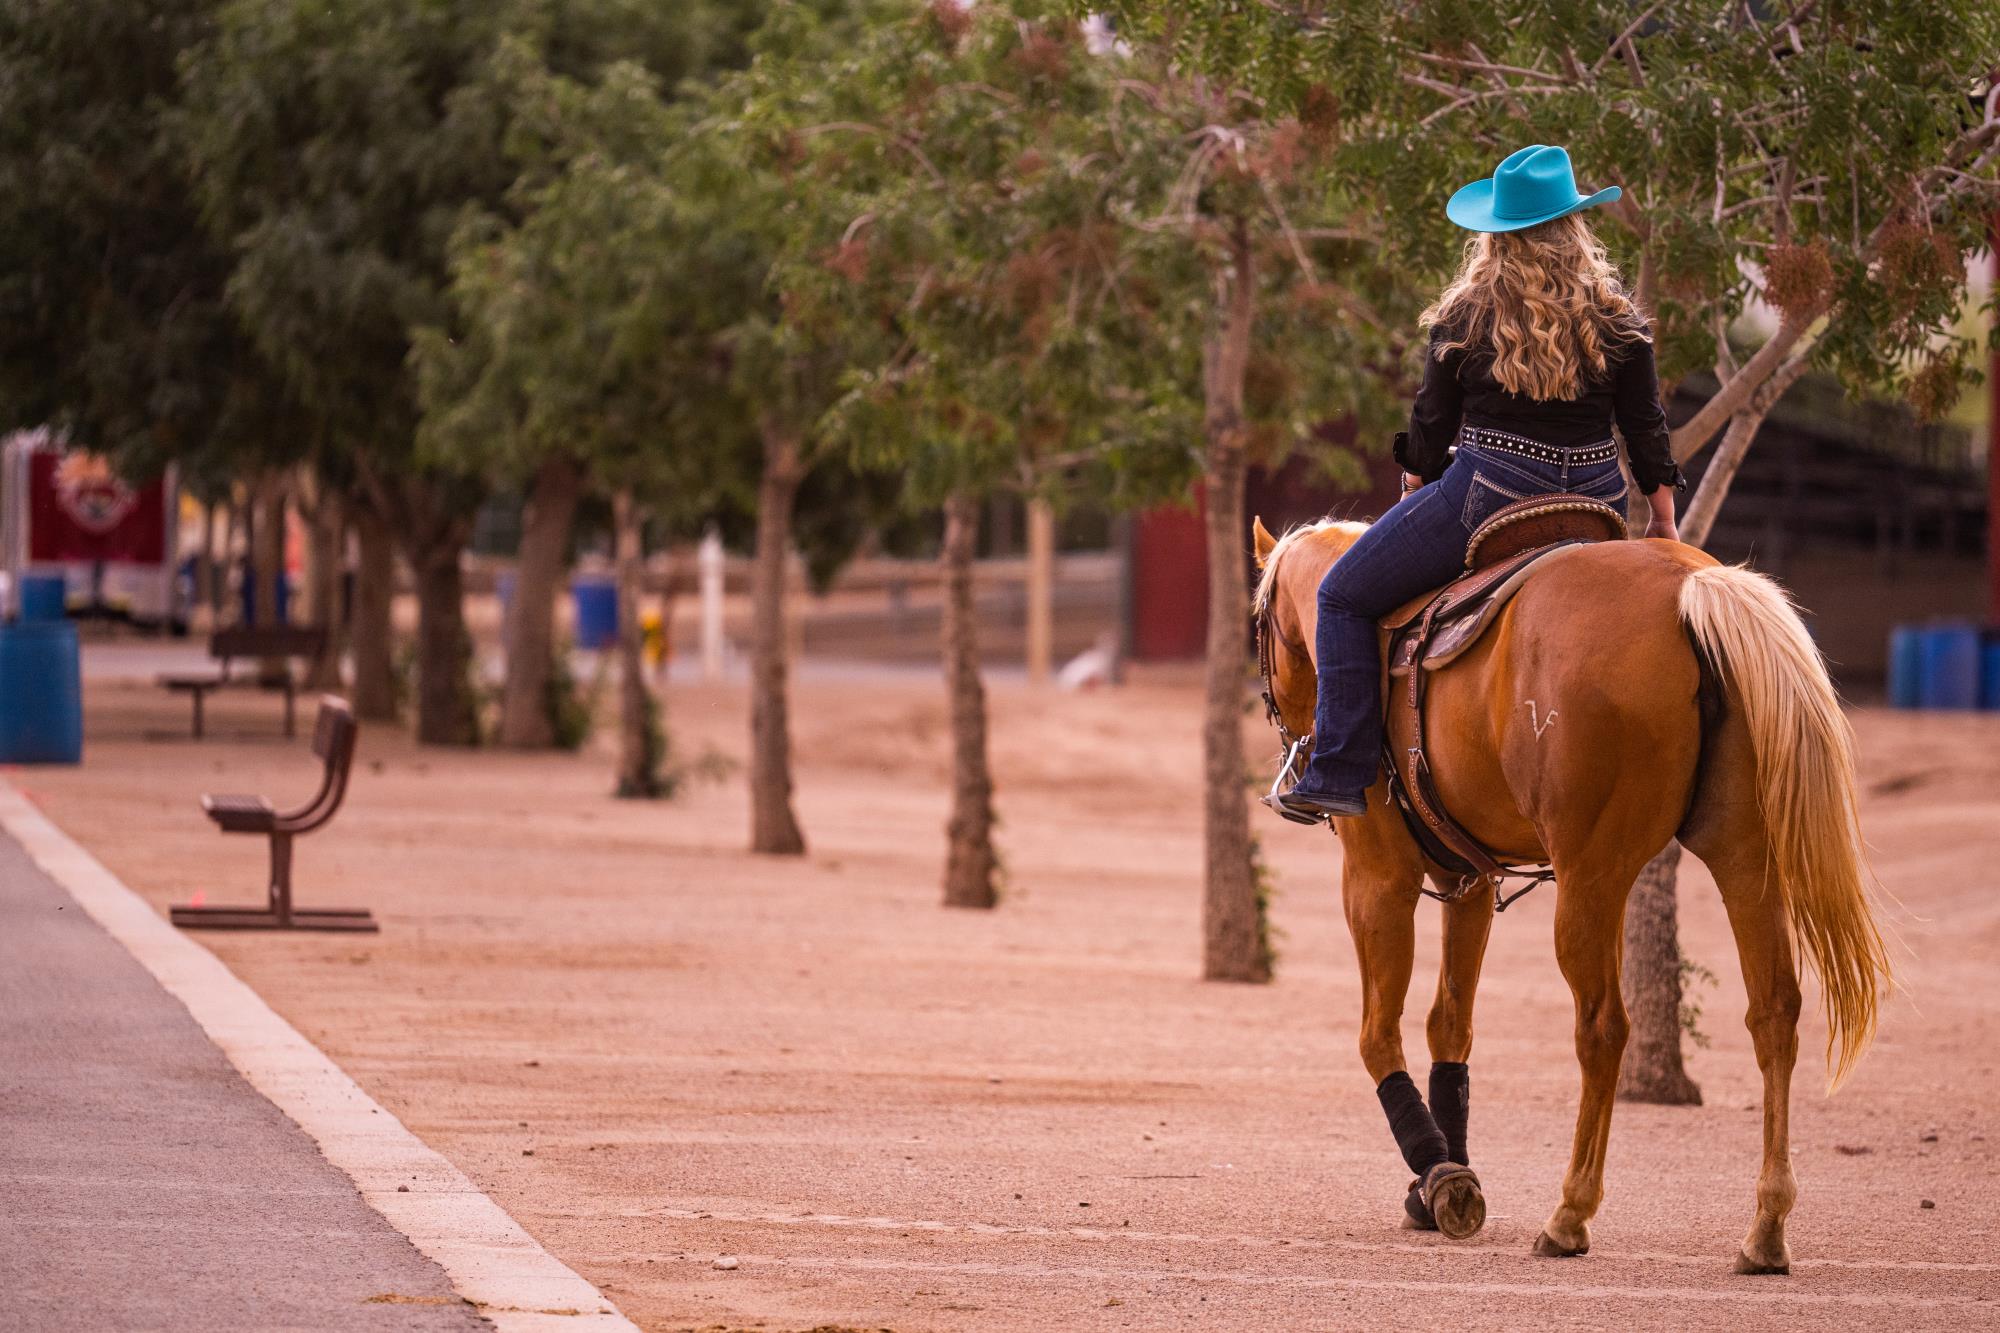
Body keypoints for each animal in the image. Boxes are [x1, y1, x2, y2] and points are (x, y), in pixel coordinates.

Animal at [1248, 516, 1888, 1264]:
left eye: (1259, 628)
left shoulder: (1376, 881)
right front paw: (1439, 1176)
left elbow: (1379, 1034)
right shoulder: (1470, 883)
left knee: (1603, 1027)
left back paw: (1570, 1212)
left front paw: (1439, 1175)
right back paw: (1766, 1227)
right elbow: (1451, 1024)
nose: (1293, 741)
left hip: (1591, 877)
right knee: (1774, 1012)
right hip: (1740, 859)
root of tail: (1688, 586)